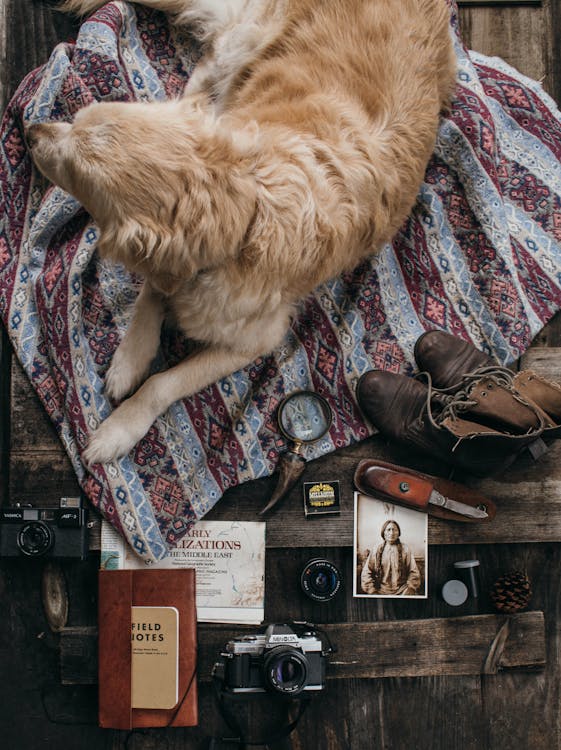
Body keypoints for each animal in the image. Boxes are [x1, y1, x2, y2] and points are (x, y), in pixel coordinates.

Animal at [27, 0, 456, 468]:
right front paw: (128, 359)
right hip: (238, 49)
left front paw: (119, 428)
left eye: (73, 170)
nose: (30, 131)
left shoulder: (257, 339)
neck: (247, 213)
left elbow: (163, 382)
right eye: (73, 122)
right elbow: (150, 295)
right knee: (199, 83)